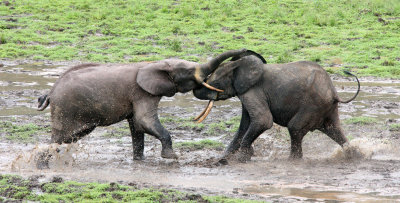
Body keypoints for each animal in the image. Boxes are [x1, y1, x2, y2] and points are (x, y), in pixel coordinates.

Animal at [37, 48, 250, 160]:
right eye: (189, 72)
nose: (244, 51)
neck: (155, 63)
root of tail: (51, 92)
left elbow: (137, 127)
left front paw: (139, 161)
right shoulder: (142, 93)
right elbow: (144, 121)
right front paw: (172, 157)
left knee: (67, 138)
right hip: (65, 109)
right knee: (58, 138)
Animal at [192, 51, 360, 163]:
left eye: (215, 83)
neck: (238, 66)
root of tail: (334, 92)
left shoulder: (253, 90)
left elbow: (263, 120)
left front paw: (243, 158)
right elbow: (245, 125)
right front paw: (222, 160)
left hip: (313, 105)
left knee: (295, 127)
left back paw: (292, 160)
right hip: (326, 107)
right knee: (334, 130)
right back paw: (355, 155)